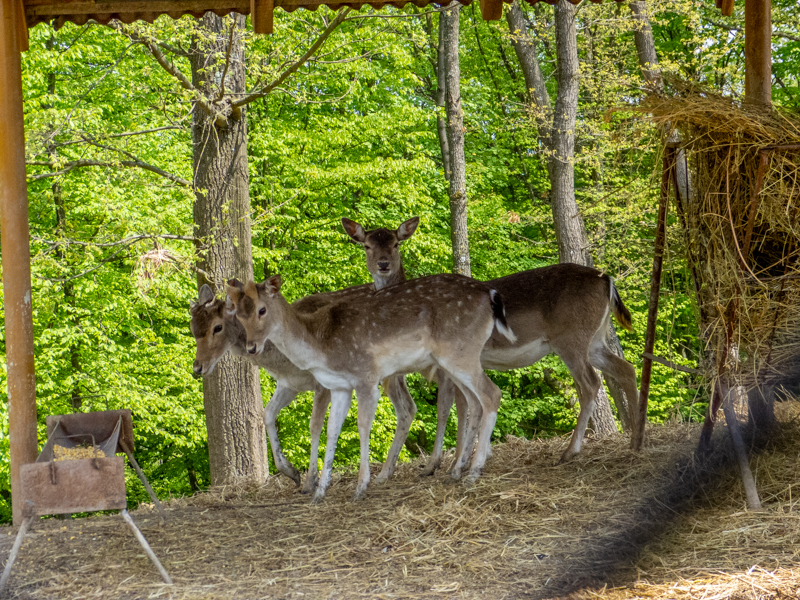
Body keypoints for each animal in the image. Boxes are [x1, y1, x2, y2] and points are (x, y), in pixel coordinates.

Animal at [190, 282, 416, 493]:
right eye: (193, 328)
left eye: (217, 327)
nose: (198, 367)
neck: (282, 361)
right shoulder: (289, 384)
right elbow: (267, 413)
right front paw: (291, 472)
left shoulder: (322, 383)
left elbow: (315, 426)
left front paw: (311, 481)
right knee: (409, 407)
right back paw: (387, 472)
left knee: (406, 407)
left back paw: (385, 473)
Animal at [226, 273, 516, 502]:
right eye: (238, 314)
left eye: (262, 310)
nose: (251, 347)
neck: (321, 346)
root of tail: (491, 295)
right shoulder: (339, 387)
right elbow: (332, 430)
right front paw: (320, 492)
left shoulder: (365, 377)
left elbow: (363, 426)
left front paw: (360, 487)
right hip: (457, 360)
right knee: (475, 401)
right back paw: (457, 472)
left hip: (460, 353)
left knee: (492, 394)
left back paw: (474, 473)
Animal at [341, 217, 639, 471]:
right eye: (367, 245)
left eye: (395, 243)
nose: (383, 264)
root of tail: (607, 280)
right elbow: (464, 405)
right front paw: (465, 459)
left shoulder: (446, 367)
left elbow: (449, 408)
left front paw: (441, 465)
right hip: (595, 339)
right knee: (626, 368)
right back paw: (636, 439)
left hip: (571, 338)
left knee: (590, 383)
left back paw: (570, 451)